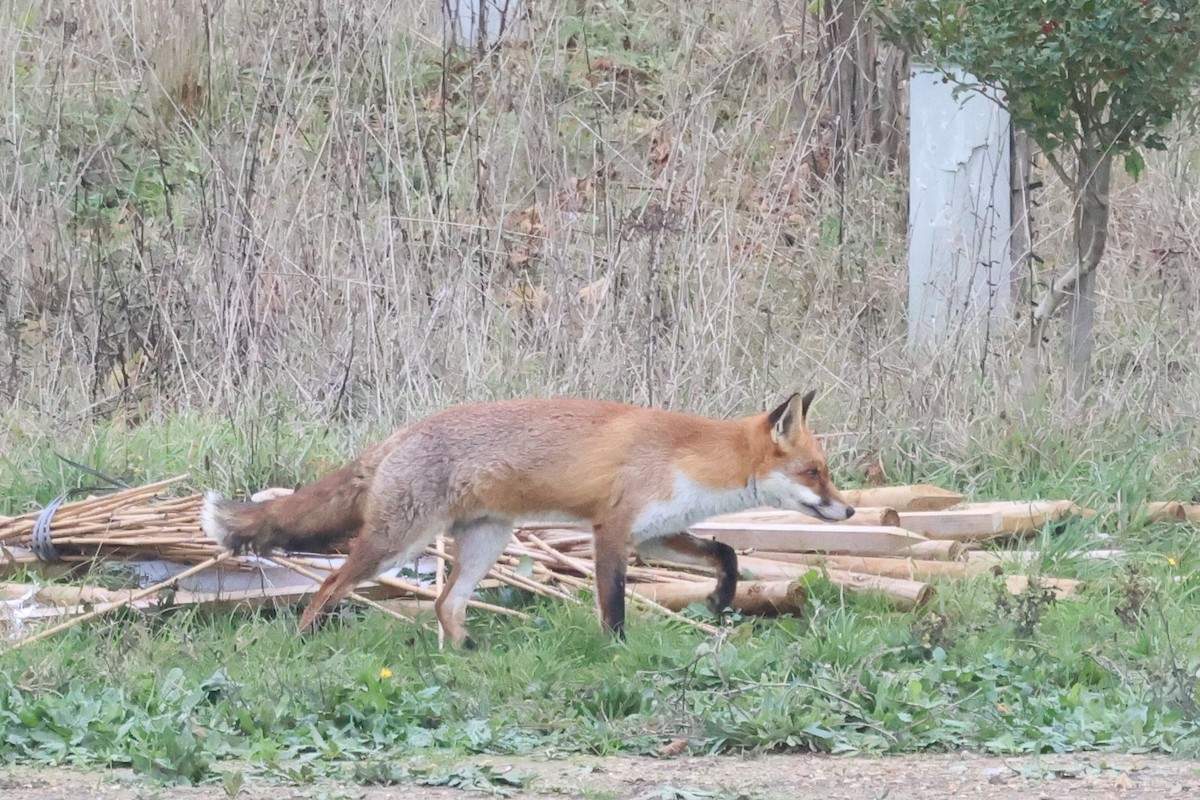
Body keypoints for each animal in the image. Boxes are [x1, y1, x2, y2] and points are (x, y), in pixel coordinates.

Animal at [200, 391, 853, 647]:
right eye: (814, 473)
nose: (848, 510)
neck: (688, 457)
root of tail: (402, 434)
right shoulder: (612, 530)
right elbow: (614, 606)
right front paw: (617, 653)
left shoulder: (655, 534)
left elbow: (727, 552)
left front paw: (720, 598)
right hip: (396, 543)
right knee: (334, 582)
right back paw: (304, 637)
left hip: (487, 541)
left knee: (446, 604)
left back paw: (465, 652)